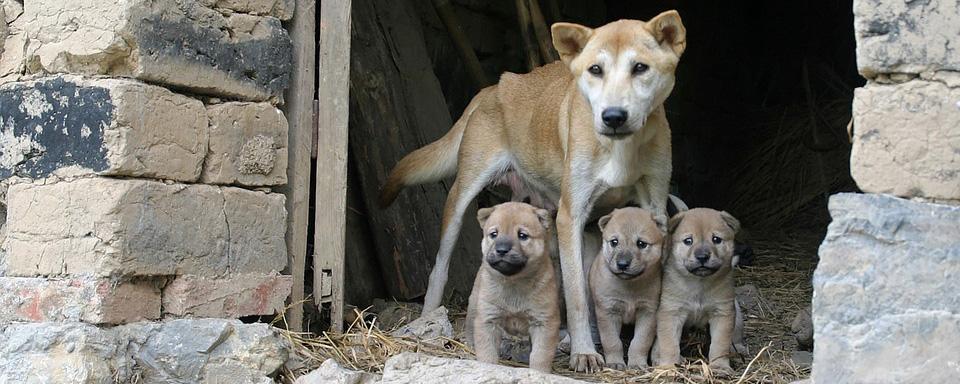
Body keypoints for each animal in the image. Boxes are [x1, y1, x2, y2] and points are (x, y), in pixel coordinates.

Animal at [466, 202, 564, 374]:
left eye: (522, 235)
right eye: (494, 234)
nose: (501, 250)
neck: (514, 282)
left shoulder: (544, 322)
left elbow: (540, 355)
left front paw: (539, 373)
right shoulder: (488, 320)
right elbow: (487, 352)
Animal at [588, 208, 664, 370]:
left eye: (641, 243)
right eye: (614, 242)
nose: (622, 264)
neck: (630, 286)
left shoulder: (648, 312)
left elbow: (640, 342)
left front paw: (637, 363)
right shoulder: (607, 310)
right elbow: (612, 341)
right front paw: (615, 362)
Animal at [660, 208, 744, 374]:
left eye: (716, 239)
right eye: (688, 241)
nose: (702, 257)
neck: (699, 284)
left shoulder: (722, 314)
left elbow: (720, 345)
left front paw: (720, 366)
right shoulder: (671, 313)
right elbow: (669, 344)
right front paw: (668, 366)